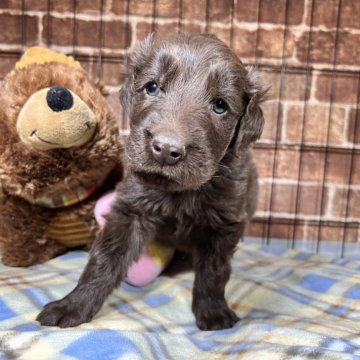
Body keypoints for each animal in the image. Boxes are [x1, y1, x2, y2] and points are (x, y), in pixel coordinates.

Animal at [38, 33, 266, 332]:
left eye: (220, 105)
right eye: (152, 87)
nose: (167, 149)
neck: (181, 191)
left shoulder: (225, 222)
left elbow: (214, 271)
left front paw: (214, 313)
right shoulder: (131, 208)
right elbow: (104, 259)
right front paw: (73, 305)